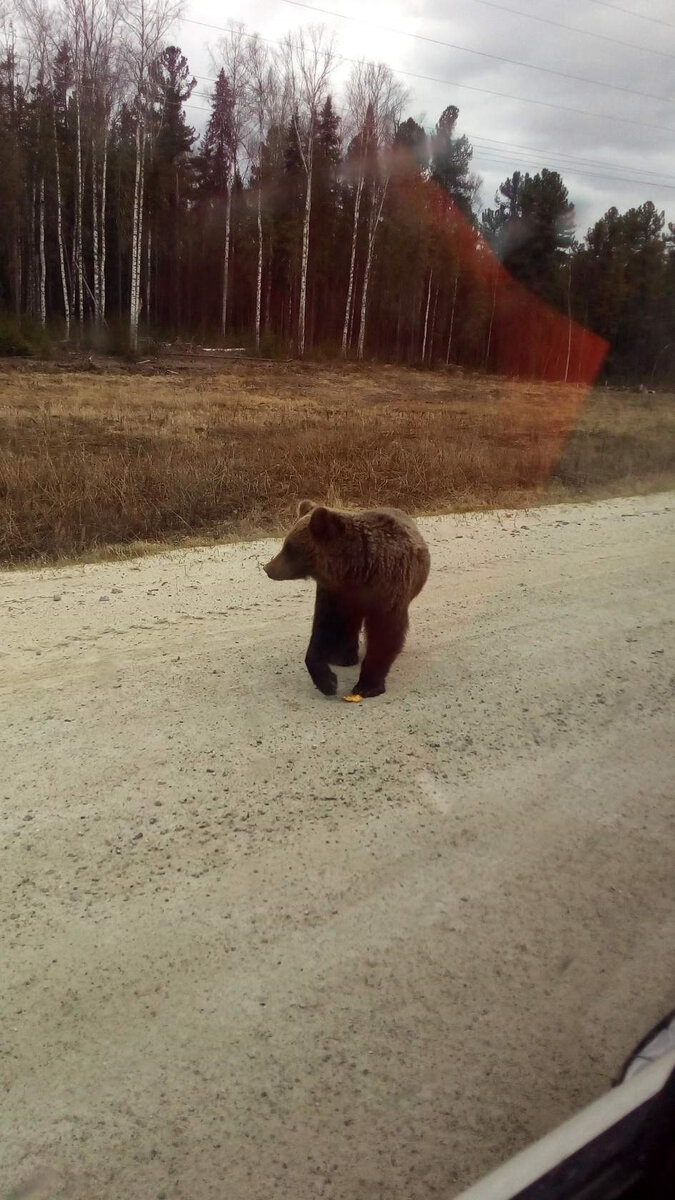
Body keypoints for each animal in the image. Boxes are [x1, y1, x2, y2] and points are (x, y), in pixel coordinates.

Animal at [260, 499, 427, 700]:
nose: (267, 568)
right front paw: (328, 681)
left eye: (290, 547)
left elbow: (384, 632)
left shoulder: (387, 589)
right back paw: (344, 656)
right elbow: (324, 627)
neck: (356, 570)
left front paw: (367, 685)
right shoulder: (334, 592)